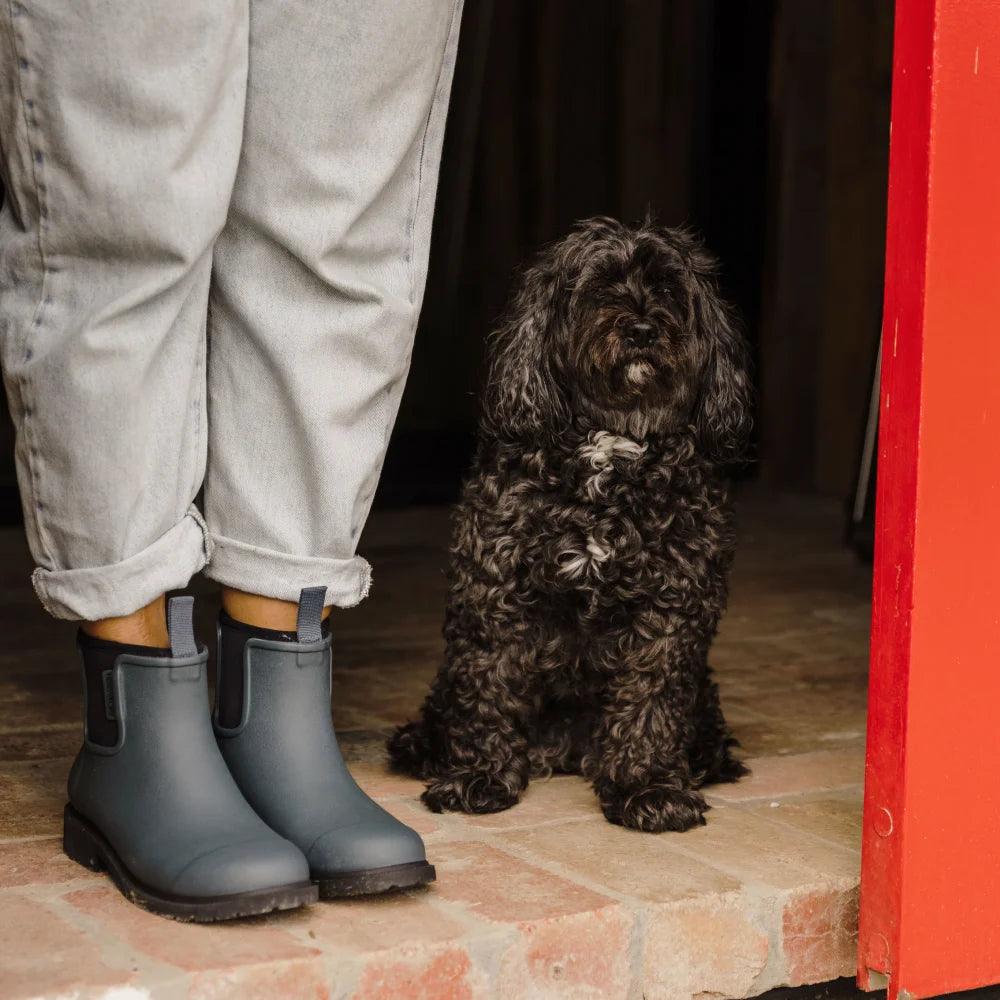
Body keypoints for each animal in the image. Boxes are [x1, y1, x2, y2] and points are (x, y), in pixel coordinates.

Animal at [388, 219, 752, 836]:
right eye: (600, 287)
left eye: (669, 289)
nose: (642, 328)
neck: (612, 443)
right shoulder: (496, 589)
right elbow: (489, 685)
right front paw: (479, 775)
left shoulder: (672, 605)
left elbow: (651, 698)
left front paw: (648, 787)